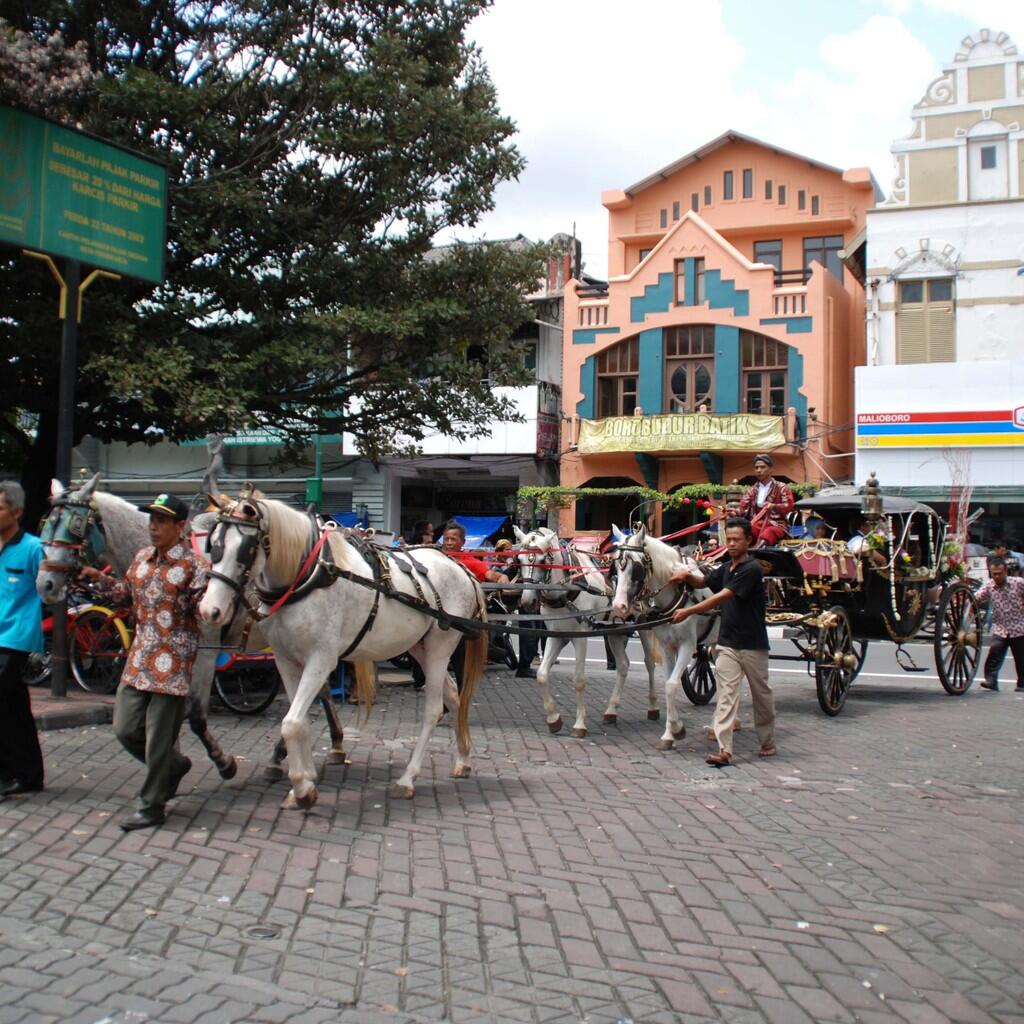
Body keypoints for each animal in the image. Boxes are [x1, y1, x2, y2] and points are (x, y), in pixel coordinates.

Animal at [34, 475, 346, 778]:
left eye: (75, 524)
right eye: (47, 522)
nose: (45, 584)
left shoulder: (205, 651)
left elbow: (194, 715)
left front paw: (223, 762)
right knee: (320, 689)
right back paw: (329, 745)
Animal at [199, 495, 487, 806]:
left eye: (246, 549)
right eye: (212, 545)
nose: (209, 610)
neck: (308, 576)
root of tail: (460, 568)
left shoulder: (321, 658)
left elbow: (291, 722)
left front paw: (302, 787)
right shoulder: (286, 660)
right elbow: (298, 720)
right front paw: (304, 780)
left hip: (440, 646)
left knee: (434, 708)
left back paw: (408, 778)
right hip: (418, 646)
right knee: (454, 696)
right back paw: (463, 760)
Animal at [512, 528, 655, 737]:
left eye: (544, 560)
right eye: (519, 560)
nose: (528, 601)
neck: (566, 589)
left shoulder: (580, 637)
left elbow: (579, 679)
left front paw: (579, 724)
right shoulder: (556, 636)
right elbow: (542, 675)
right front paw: (553, 719)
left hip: (643, 625)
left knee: (649, 663)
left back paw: (653, 707)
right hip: (615, 630)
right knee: (623, 665)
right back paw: (611, 711)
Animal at [610, 524, 716, 749]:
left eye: (637, 568)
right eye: (616, 567)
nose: (619, 606)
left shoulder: (687, 645)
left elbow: (671, 685)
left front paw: (675, 729)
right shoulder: (667, 646)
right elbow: (668, 684)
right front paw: (672, 731)